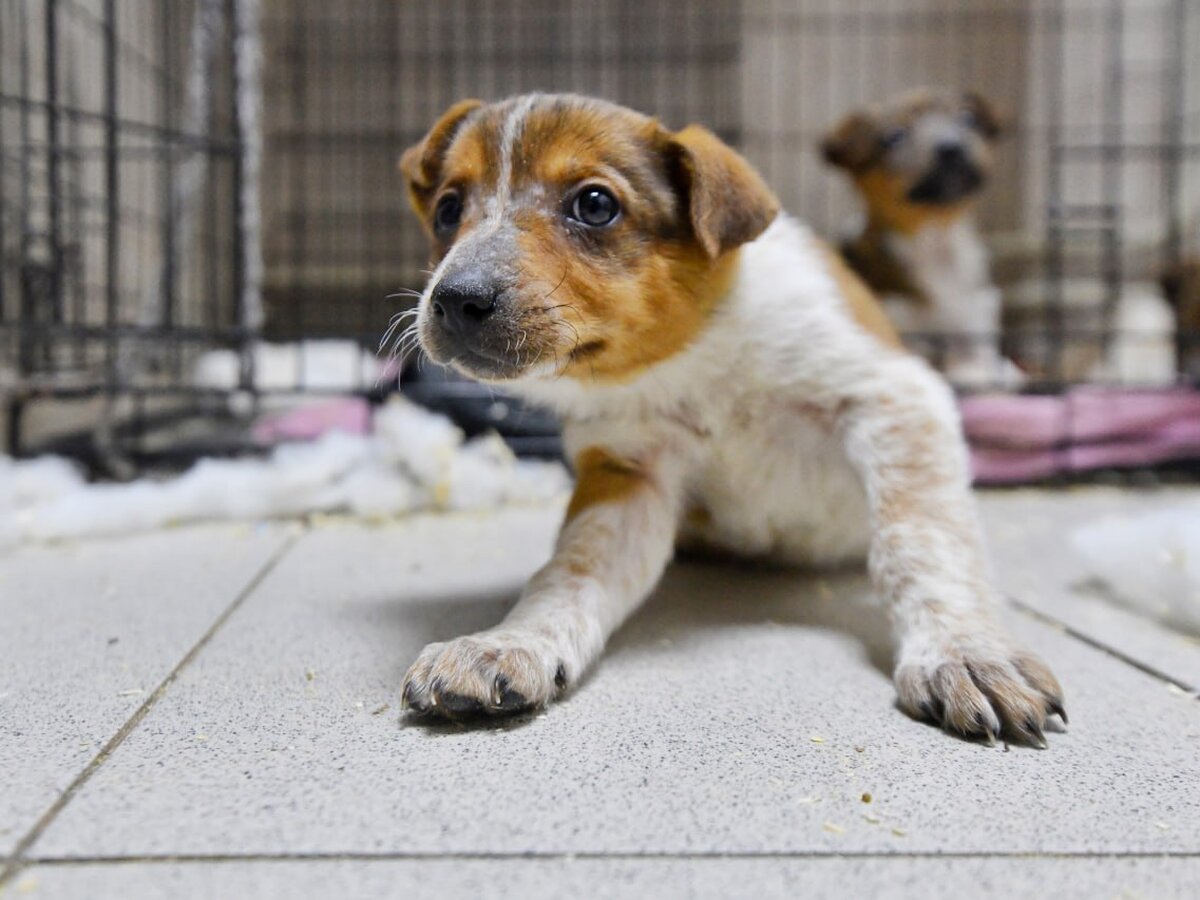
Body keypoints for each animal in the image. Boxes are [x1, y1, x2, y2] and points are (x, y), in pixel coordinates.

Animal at [825, 90, 1022, 388]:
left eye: (968, 118)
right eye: (893, 136)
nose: (951, 148)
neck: (934, 240)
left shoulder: (976, 320)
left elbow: (975, 361)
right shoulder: (898, 325)